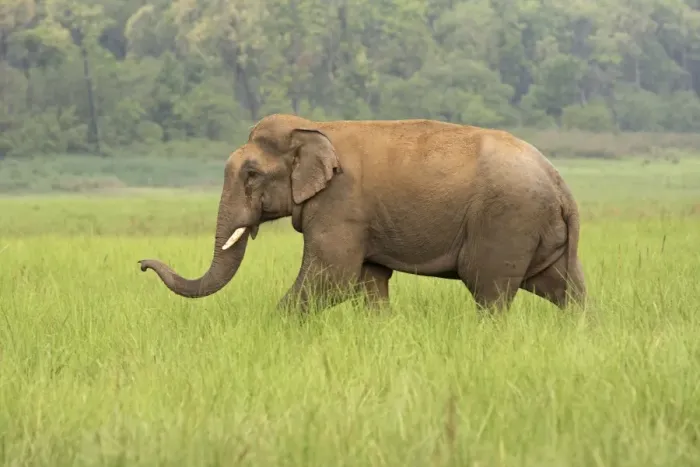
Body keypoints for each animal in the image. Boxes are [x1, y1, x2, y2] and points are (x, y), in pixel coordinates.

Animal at [138, 113, 586, 313]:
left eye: (251, 175)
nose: (141, 264)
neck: (312, 126)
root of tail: (561, 185)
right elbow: (369, 282)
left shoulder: (340, 207)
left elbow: (332, 279)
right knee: (564, 289)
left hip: (507, 221)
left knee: (489, 291)